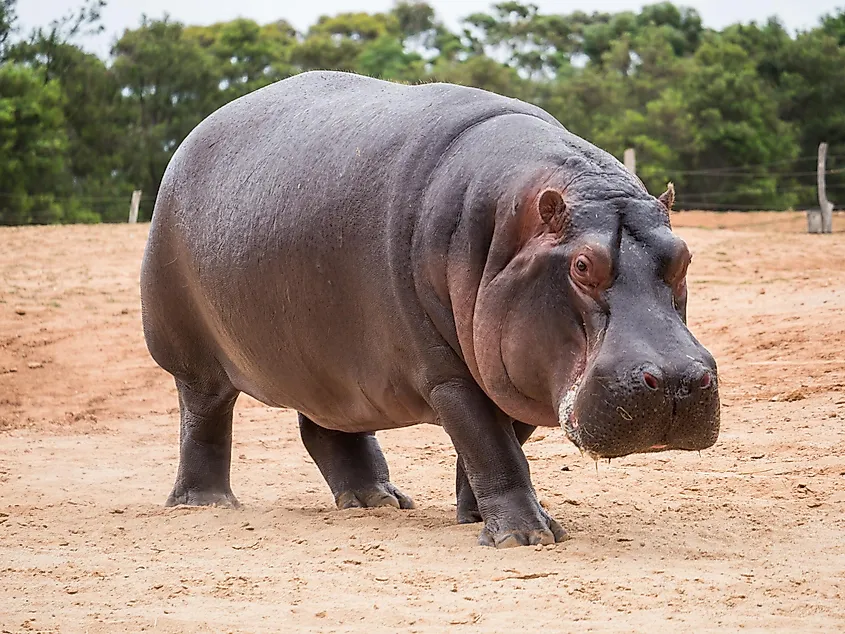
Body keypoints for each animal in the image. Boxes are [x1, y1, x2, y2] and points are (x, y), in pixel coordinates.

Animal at [140, 70, 720, 548]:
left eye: (684, 255)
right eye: (581, 265)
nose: (676, 380)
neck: (509, 235)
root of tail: (191, 138)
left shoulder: (509, 367)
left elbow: (498, 444)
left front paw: (473, 515)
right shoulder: (447, 372)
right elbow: (491, 445)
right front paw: (525, 537)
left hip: (329, 363)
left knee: (328, 428)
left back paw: (378, 500)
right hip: (191, 356)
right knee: (204, 419)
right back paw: (206, 505)